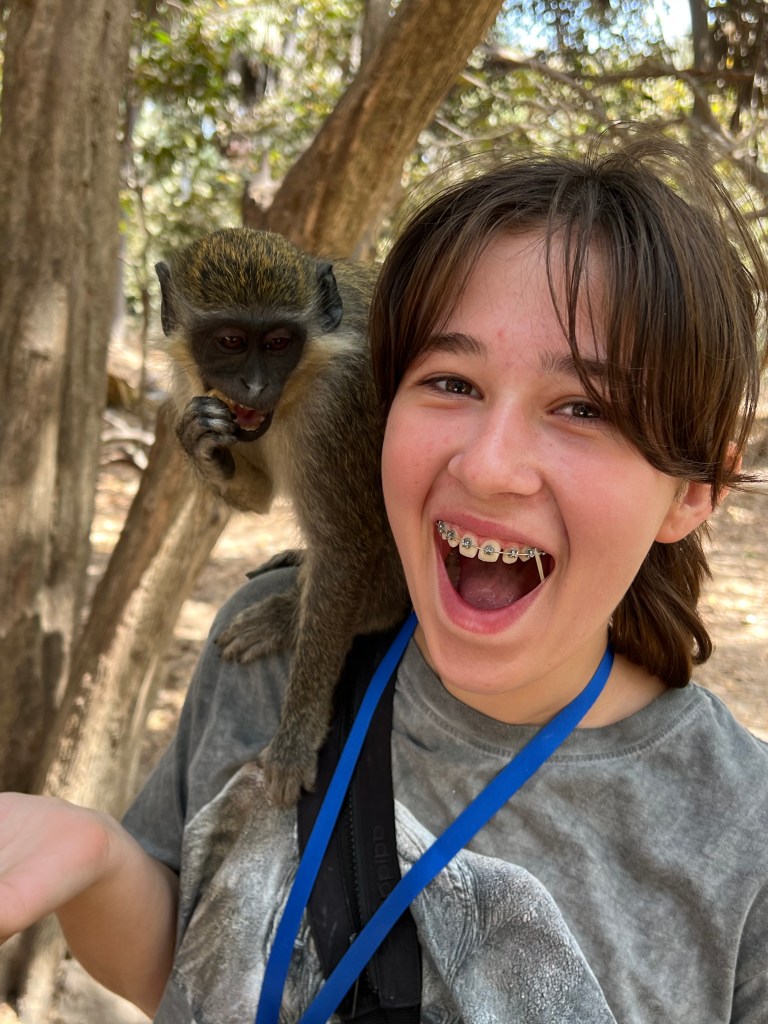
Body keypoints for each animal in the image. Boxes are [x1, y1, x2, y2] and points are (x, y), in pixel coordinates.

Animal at [156, 228, 410, 807]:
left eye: (277, 343)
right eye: (230, 341)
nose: (252, 386)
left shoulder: (342, 403)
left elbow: (344, 548)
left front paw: (296, 738)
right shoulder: (192, 387)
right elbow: (258, 488)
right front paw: (200, 443)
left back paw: (293, 614)